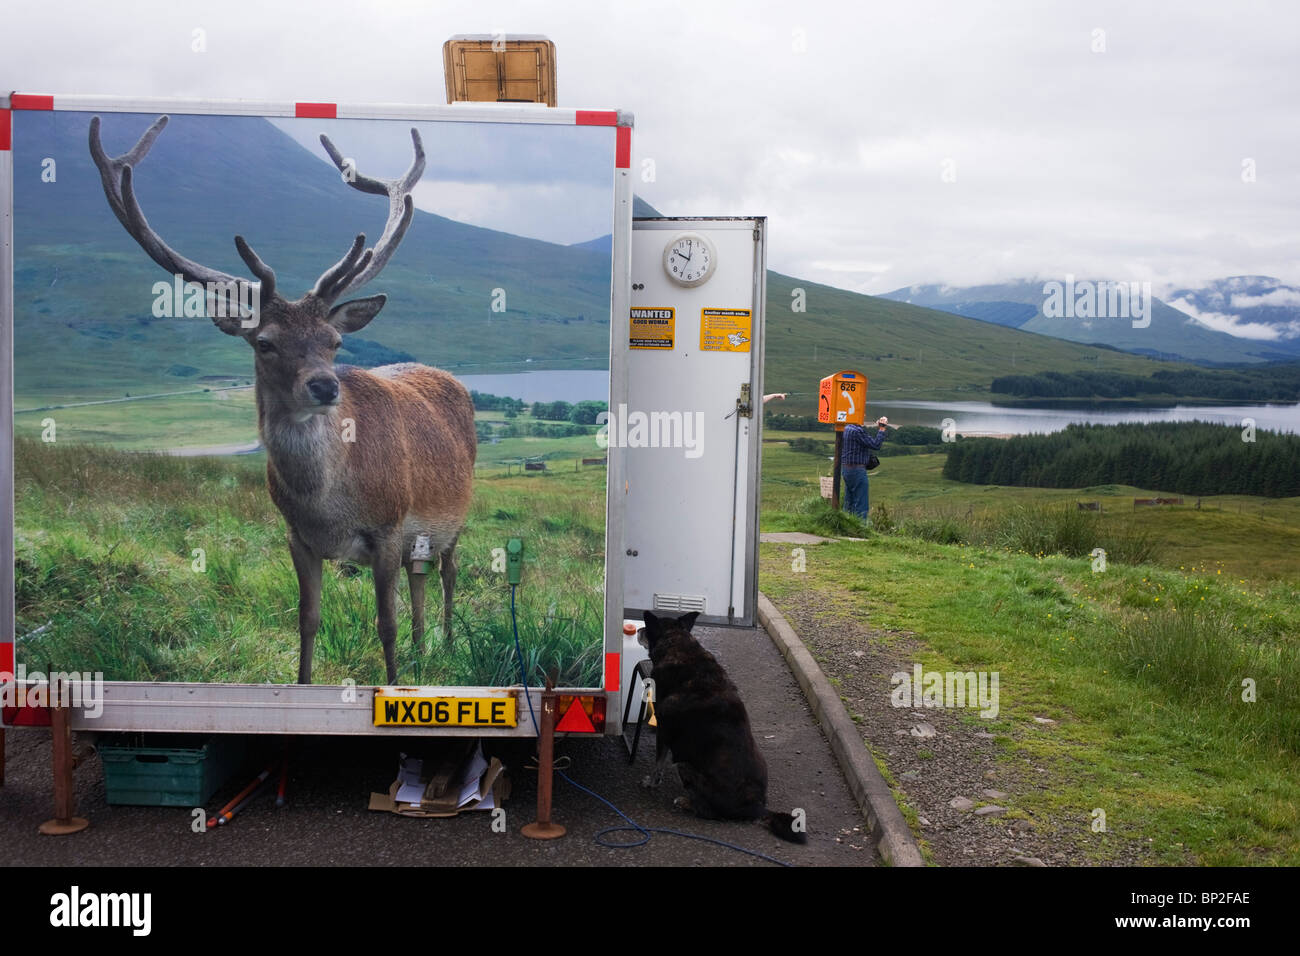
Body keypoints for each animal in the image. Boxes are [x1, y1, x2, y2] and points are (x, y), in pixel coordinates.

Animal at [637, 608, 806, 842]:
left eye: (647, 628)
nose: (637, 630)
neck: (679, 645)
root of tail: (756, 808)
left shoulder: (663, 729)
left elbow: (658, 763)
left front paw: (651, 783)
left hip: (685, 764)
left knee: (708, 812)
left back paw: (686, 802)